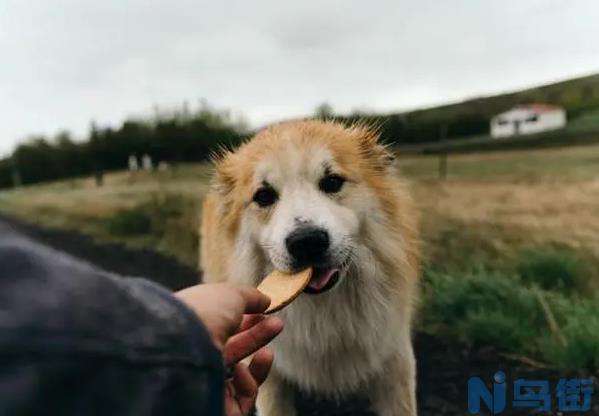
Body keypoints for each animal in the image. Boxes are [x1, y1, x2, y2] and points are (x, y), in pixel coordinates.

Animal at [199, 118, 420, 414]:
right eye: (264, 196)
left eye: (332, 182)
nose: (307, 242)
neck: (324, 310)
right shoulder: (271, 376)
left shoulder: (394, 363)